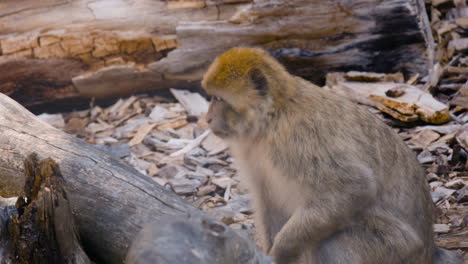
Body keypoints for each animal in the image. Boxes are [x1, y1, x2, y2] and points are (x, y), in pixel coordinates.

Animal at [201, 47, 460, 264]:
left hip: (397, 250)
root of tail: (428, 251)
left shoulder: (298, 139)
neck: (273, 116)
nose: (208, 118)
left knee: (332, 241)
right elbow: (268, 201)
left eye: (218, 98)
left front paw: (281, 251)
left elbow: (353, 187)